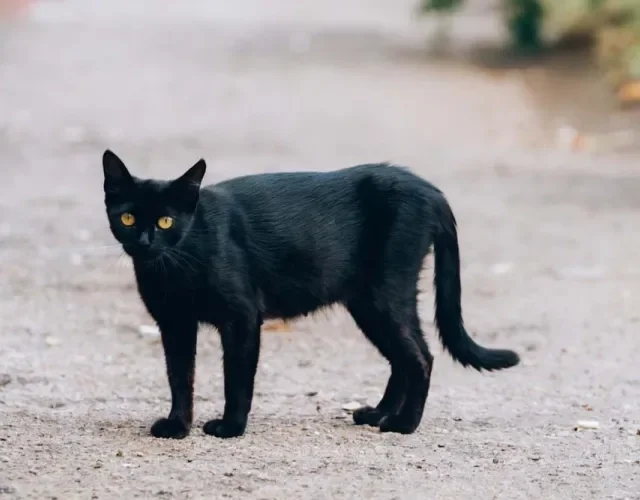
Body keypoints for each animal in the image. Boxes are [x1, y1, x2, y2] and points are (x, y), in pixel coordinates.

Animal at [101, 150, 520, 440]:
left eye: (165, 221)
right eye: (128, 217)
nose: (144, 240)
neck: (174, 264)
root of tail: (429, 189)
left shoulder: (242, 317)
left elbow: (236, 378)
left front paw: (230, 427)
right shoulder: (175, 324)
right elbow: (179, 377)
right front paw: (178, 425)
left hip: (384, 295)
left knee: (420, 357)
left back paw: (403, 424)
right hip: (368, 303)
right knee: (404, 357)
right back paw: (378, 414)